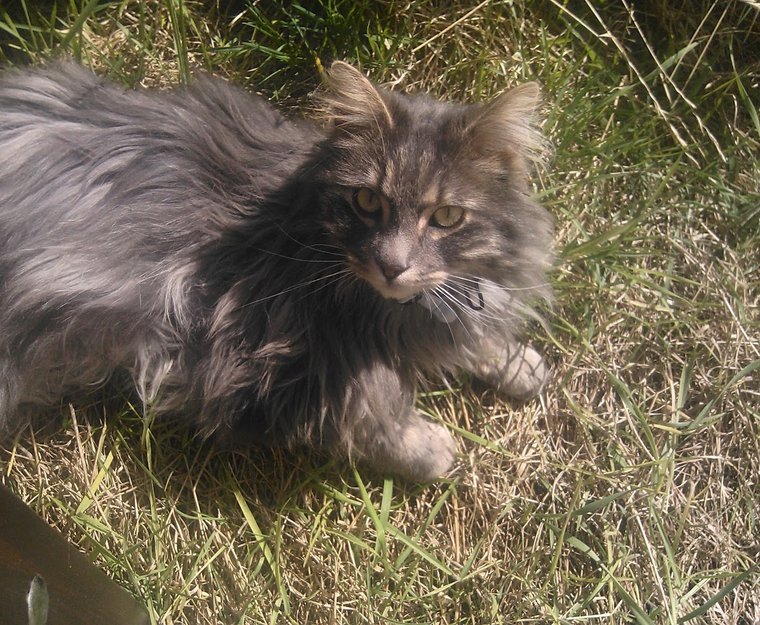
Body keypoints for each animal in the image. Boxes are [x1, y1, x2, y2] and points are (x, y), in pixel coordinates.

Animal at [0, 60, 553, 481]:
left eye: (446, 218)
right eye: (367, 201)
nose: (392, 266)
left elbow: (474, 332)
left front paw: (519, 363)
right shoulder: (267, 354)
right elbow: (375, 417)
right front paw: (432, 451)